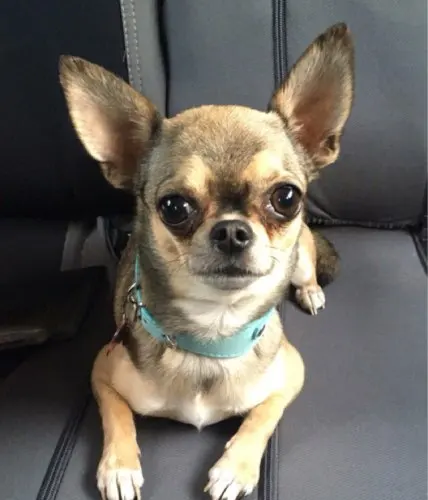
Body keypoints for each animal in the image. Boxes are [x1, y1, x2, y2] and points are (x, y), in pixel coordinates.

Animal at [60, 22, 354, 500]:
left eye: (286, 198)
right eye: (174, 207)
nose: (232, 230)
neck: (214, 333)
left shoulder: (291, 376)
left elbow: (262, 417)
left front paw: (234, 469)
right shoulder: (102, 372)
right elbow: (116, 416)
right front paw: (119, 467)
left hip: (303, 258)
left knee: (307, 271)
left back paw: (310, 291)